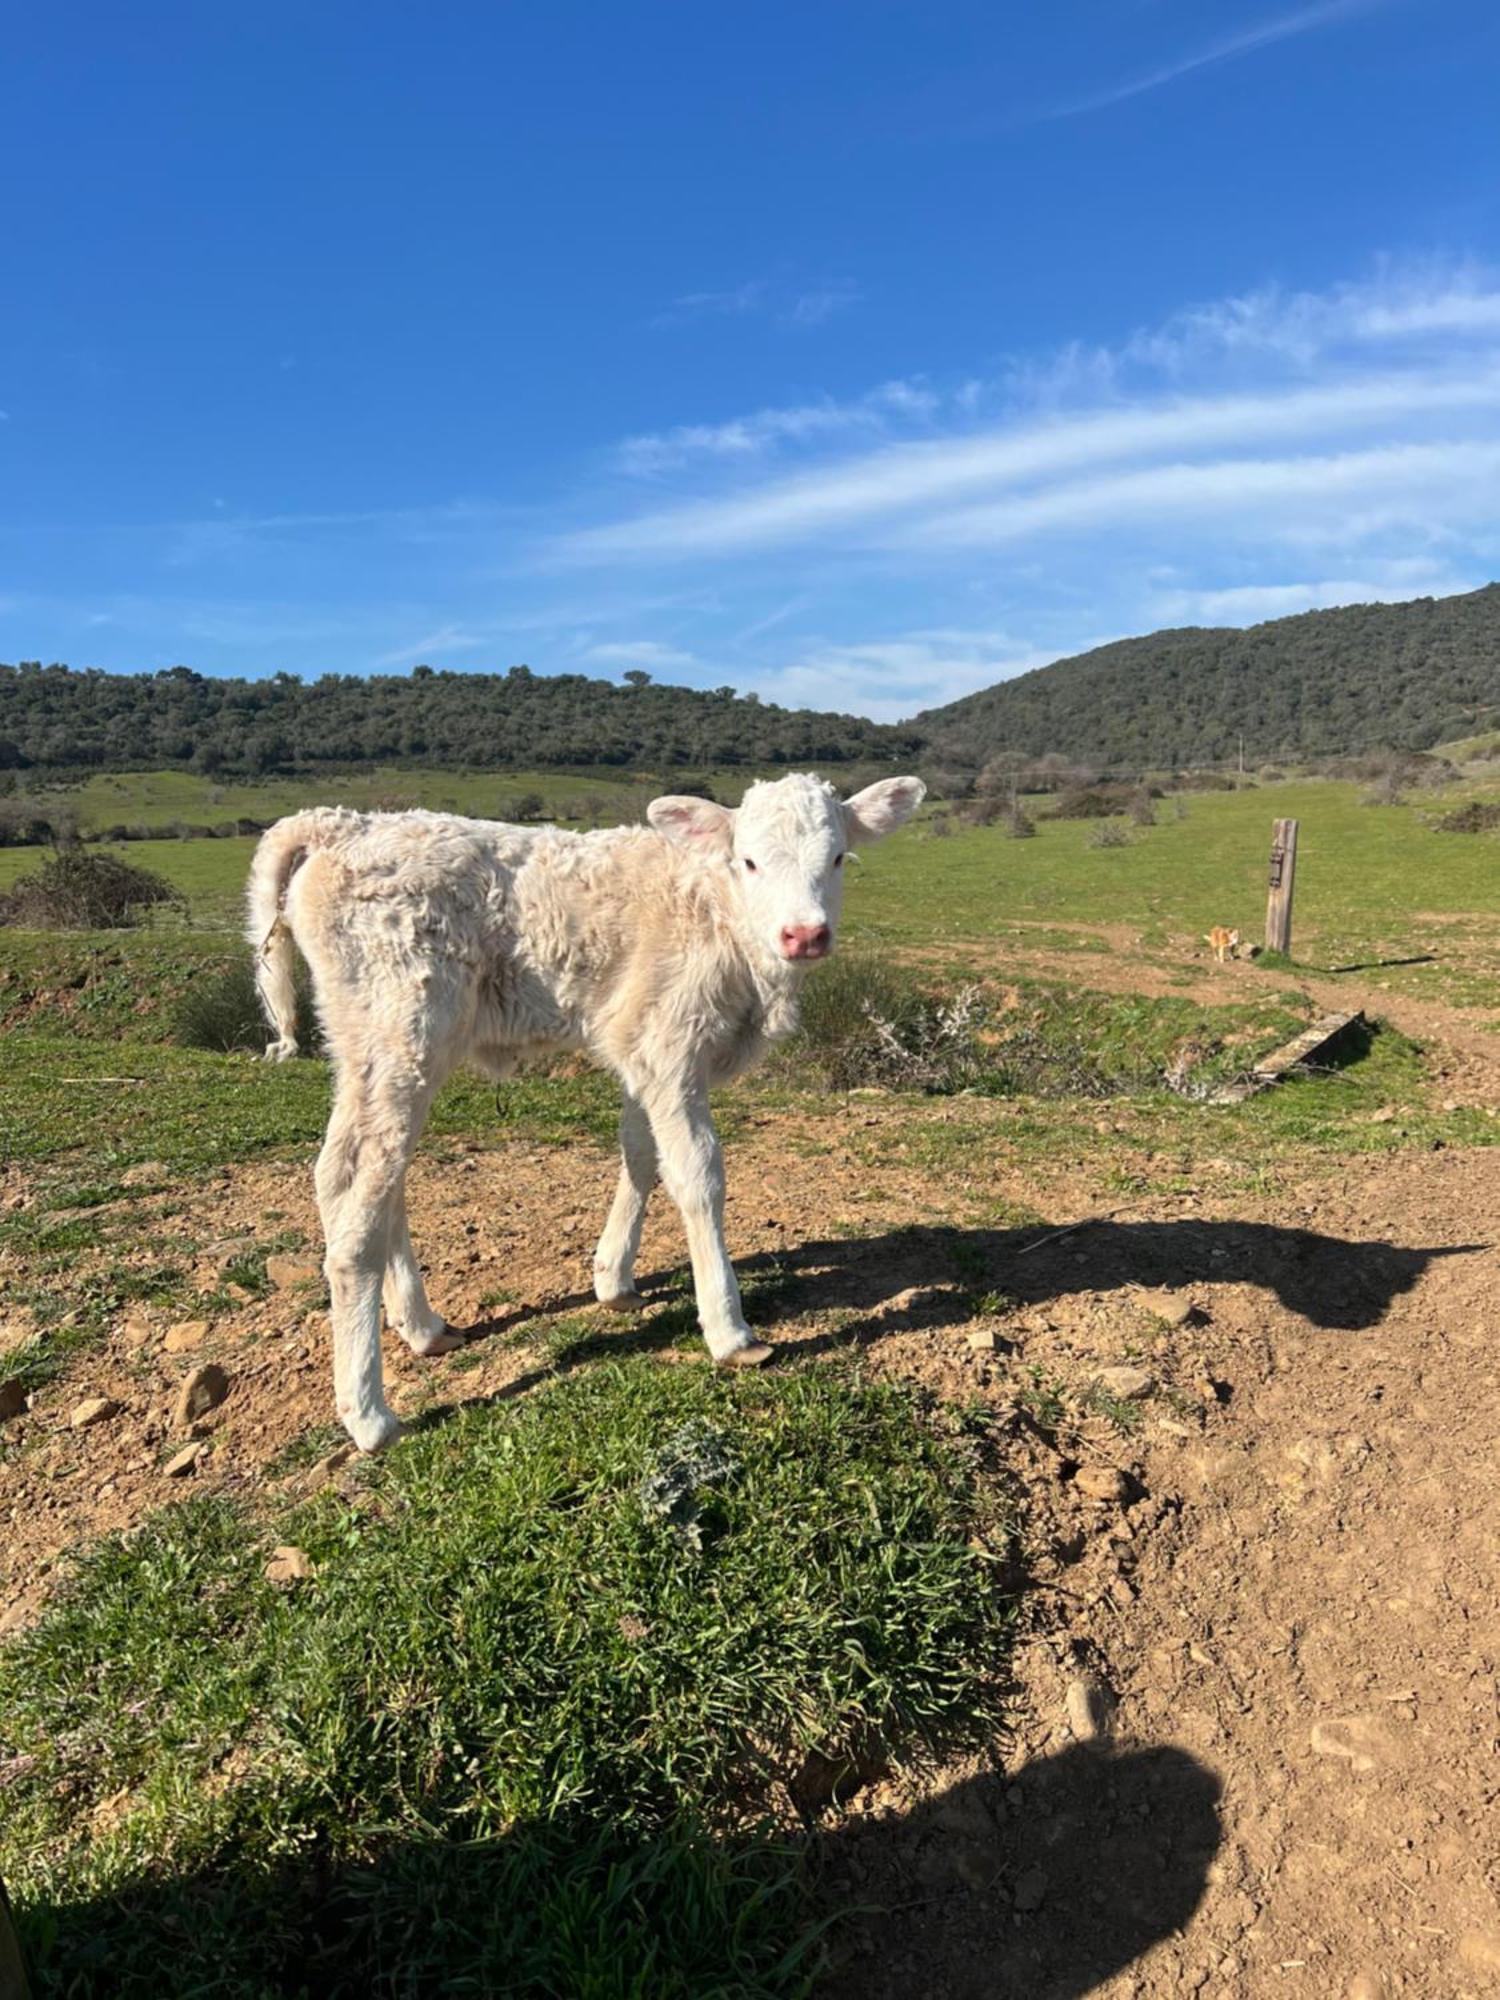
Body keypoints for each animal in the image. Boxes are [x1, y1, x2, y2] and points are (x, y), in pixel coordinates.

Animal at [244, 772, 928, 1448]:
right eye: (750, 861)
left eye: (837, 858)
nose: (805, 934)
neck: (716, 910)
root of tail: (342, 823)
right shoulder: (672, 1043)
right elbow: (697, 1174)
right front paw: (730, 1330)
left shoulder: (640, 1044)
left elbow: (641, 1153)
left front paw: (614, 1280)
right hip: (400, 1029)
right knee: (362, 1193)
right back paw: (369, 1412)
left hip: (366, 1047)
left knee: (354, 1176)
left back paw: (423, 1326)